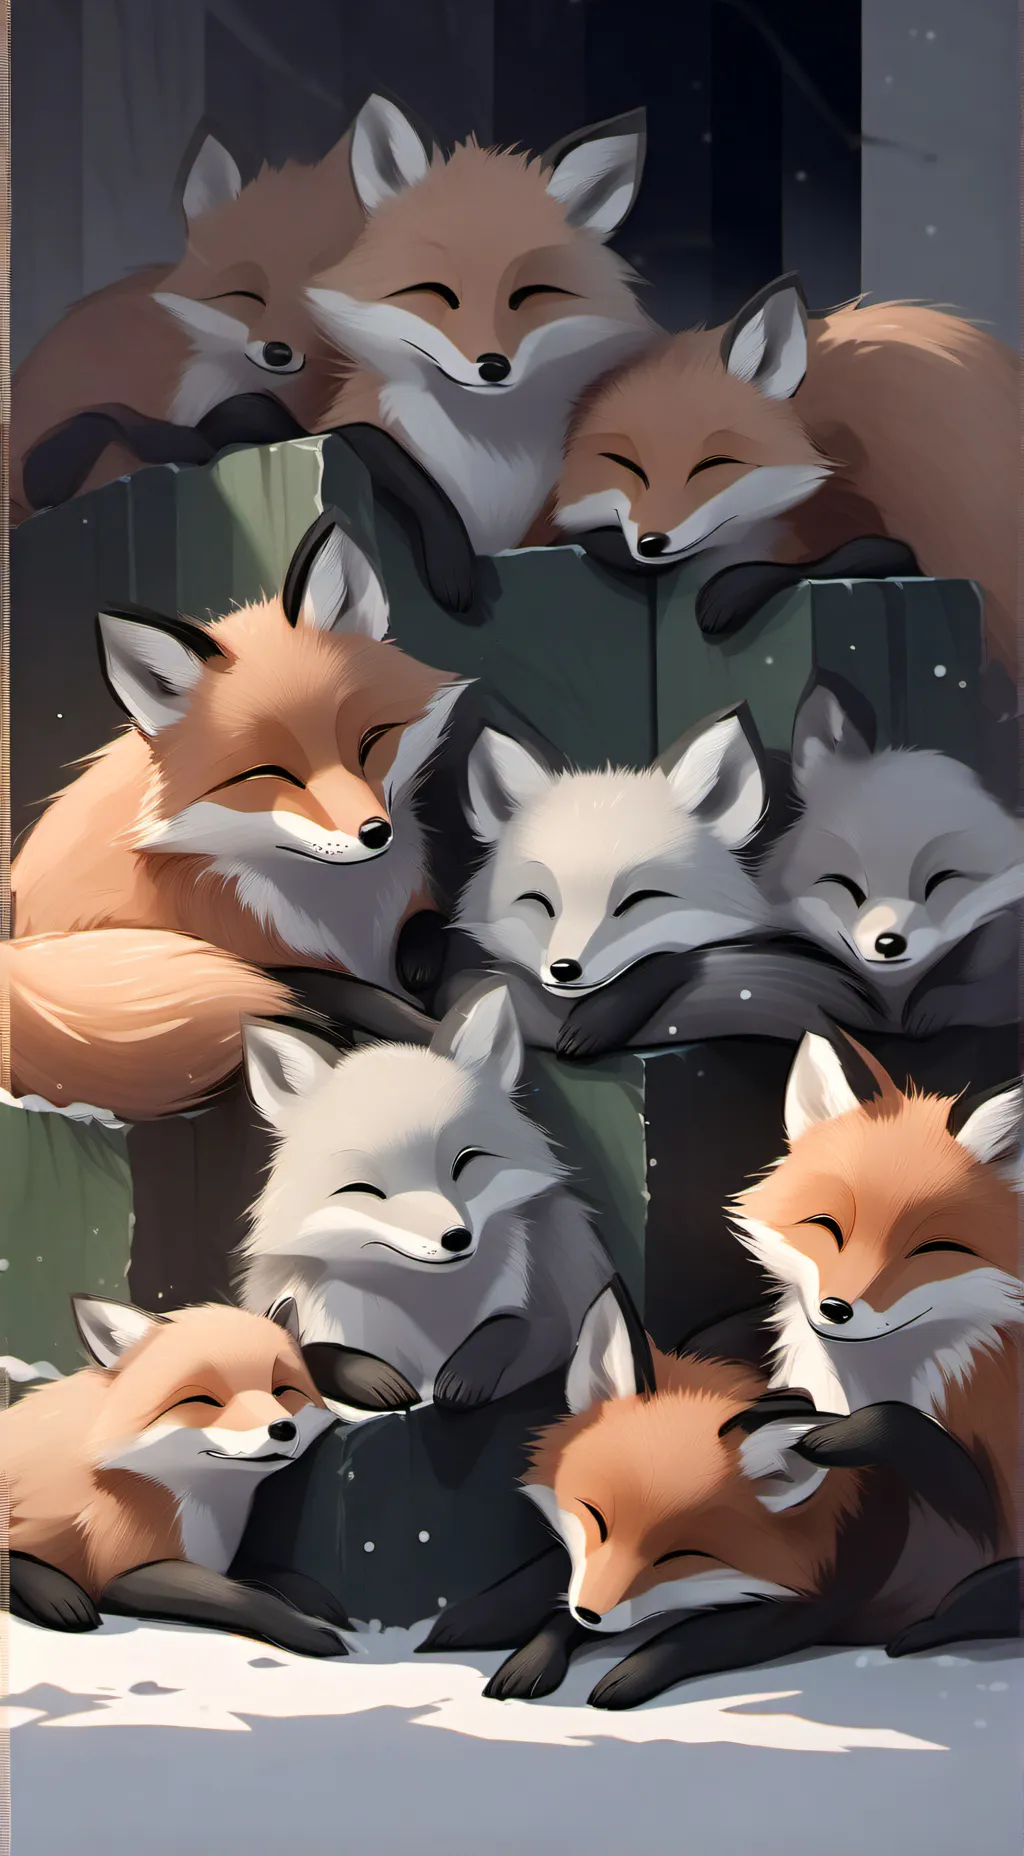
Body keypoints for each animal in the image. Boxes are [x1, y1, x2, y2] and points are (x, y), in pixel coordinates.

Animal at [2, 1292, 348, 1655]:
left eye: (282, 1390)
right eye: (203, 1399)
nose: (283, 1428)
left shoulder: (222, 1559)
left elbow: (259, 1574)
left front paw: (313, 1596)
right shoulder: (123, 1572)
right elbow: (239, 1595)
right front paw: (308, 1631)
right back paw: (59, 1598)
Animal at [237, 982, 612, 1413]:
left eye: (465, 1162)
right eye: (366, 1189)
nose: (455, 1238)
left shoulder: (557, 1296)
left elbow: (521, 1329)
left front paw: (467, 1375)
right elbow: (307, 1354)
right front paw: (374, 1379)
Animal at [418, 1282, 1008, 1707]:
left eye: (679, 1556)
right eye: (595, 1516)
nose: (593, 1616)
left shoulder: (817, 1600)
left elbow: (689, 1637)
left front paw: (628, 1673)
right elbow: (555, 1588)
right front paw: (522, 1646)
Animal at [554, 271, 1018, 665]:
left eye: (713, 464)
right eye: (627, 465)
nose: (652, 542)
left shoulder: (901, 535)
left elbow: (828, 559)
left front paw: (727, 594)